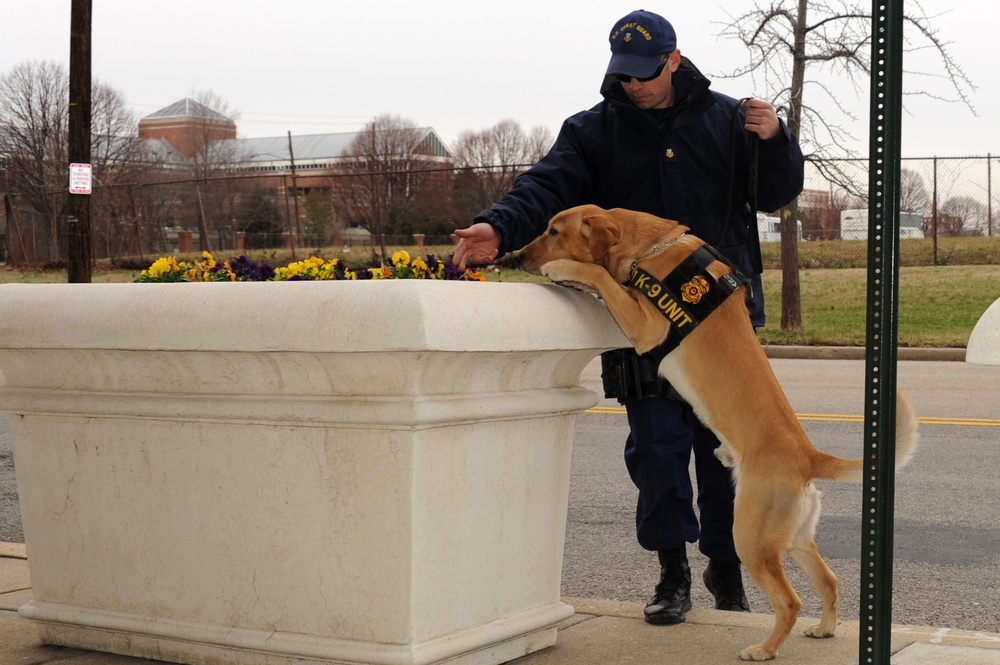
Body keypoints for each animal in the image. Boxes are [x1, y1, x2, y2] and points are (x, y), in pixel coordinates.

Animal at [496, 204, 916, 660]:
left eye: (555, 232)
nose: (516, 256)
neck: (653, 247)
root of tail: (809, 458)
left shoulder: (646, 326)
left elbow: (601, 277)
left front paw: (564, 269)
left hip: (750, 536)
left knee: (790, 600)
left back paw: (764, 649)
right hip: (795, 538)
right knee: (829, 581)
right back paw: (823, 629)